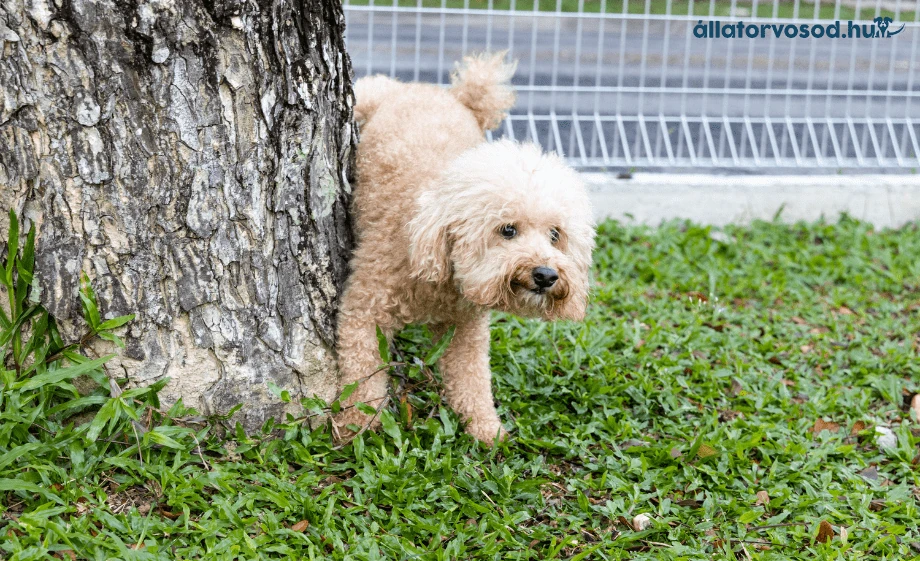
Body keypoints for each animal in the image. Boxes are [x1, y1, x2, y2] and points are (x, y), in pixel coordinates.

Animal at [334, 54, 592, 444]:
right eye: (508, 230)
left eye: (554, 235)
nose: (546, 275)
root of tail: (448, 94)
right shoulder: (364, 310)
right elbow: (362, 373)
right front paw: (357, 426)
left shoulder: (466, 327)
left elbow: (471, 377)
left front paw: (486, 428)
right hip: (370, 94)